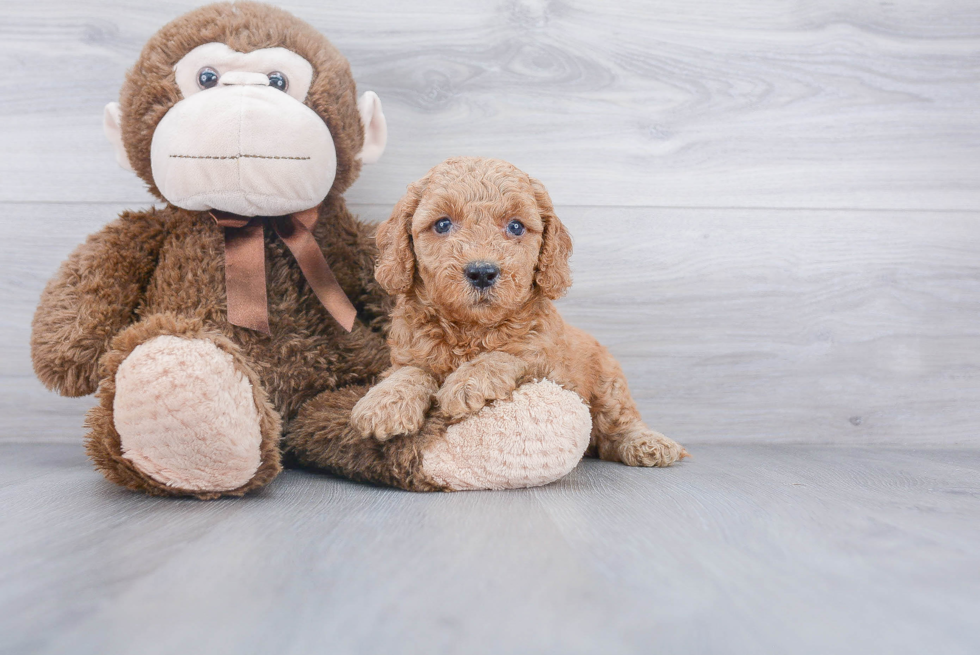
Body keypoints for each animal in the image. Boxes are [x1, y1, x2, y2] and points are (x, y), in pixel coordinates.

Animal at [350, 157, 680, 468]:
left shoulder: (550, 368)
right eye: (442, 224)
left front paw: (467, 382)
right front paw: (384, 403)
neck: (470, 328)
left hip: (608, 384)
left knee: (617, 425)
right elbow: (410, 370)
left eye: (516, 226)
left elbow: (508, 355)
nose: (482, 272)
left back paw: (648, 443)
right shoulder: (405, 353)